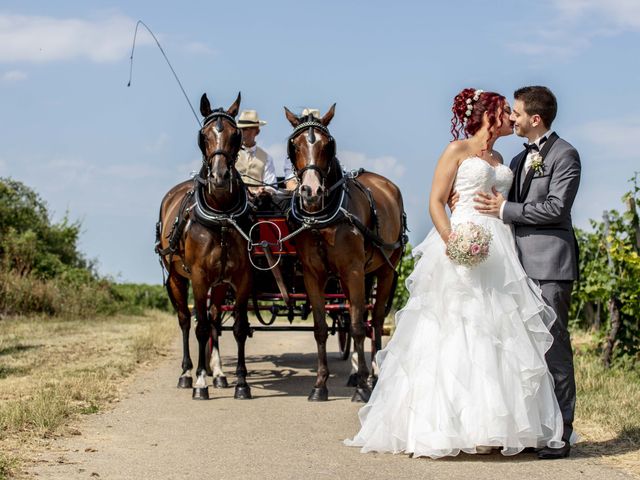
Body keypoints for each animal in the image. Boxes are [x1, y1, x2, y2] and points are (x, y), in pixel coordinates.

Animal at [156, 92, 254, 400]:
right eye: (204, 135)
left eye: (236, 135)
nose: (220, 178)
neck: (221, 216)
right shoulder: (198, 278)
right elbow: (199, 328)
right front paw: (200, 381)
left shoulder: (241, 278)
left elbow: (238, 328)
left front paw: (241, 382)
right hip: (176, 277)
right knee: (187, 320)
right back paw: (187, 373)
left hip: (220, 284)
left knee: (213, 319)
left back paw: (220, 374)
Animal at [284, 104, 404, 402]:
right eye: (295, 144)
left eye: (328, 145)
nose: (311, 191)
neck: (321, 220)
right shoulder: (313, 275)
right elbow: (320, 328)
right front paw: (319, 385)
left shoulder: (353, 271)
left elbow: (359, 327)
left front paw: (363, 387)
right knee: (353, 315)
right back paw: (358, 373)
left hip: (383, 271)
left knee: (374, 322)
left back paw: (372, 377)